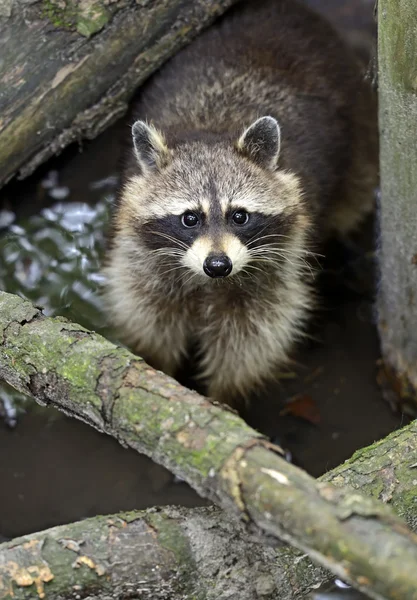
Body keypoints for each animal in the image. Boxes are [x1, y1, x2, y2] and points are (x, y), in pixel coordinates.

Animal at [103, 0, 376, 408]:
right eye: (189, 218)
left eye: (240, 216)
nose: (218, 265)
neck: (212, 133)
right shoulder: (144, 260)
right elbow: (149, 316)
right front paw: (158, 370)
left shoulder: (277, 268)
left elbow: (249, 340)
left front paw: (223, 398)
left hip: (360, 132)